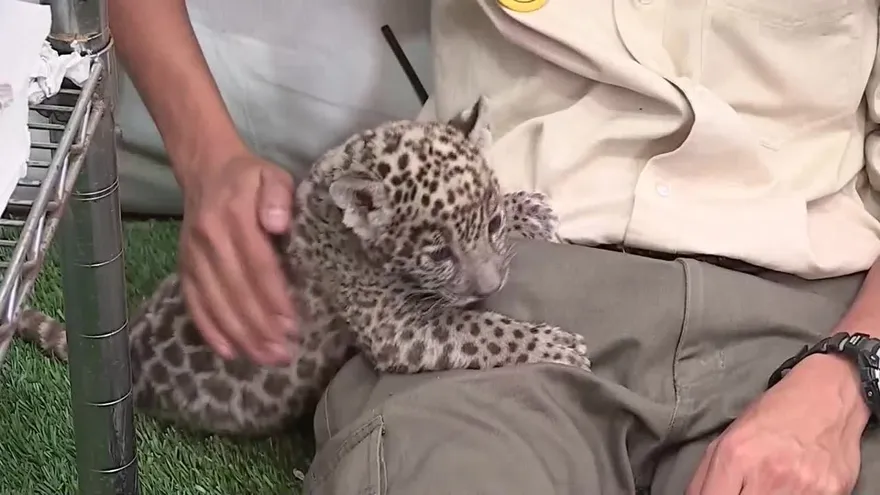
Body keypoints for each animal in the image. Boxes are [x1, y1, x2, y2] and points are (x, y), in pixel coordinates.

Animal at [4, 97, 590, 437]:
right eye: (438, 254)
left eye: (491, 224)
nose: (491, 285)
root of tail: (125, 347)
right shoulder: (396, 330)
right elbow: (477, 329)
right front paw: (557, 345)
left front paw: (529, 210)